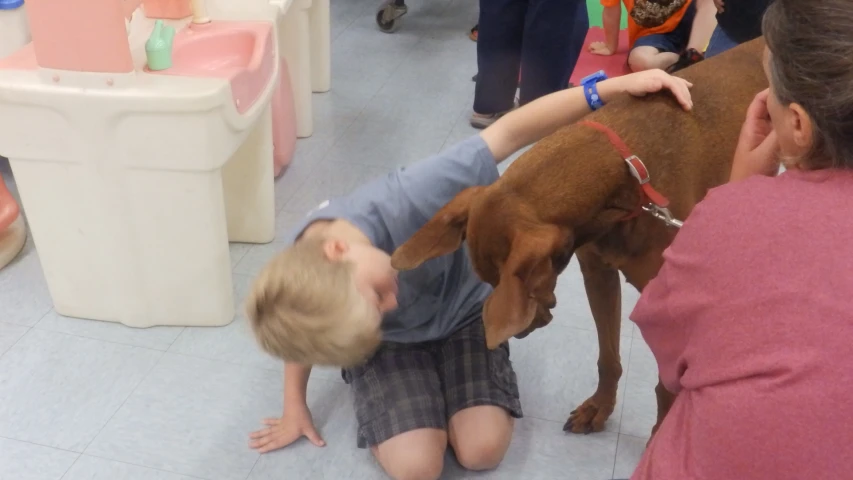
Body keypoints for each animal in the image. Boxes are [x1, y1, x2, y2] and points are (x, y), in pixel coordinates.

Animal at [390, 37, 768, 436]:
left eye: (519, 282)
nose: (519, 334)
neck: (629, 176)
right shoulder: (598, 275)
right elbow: (607, 356)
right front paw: (600, 406)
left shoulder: (666, 308)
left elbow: (666, 384)